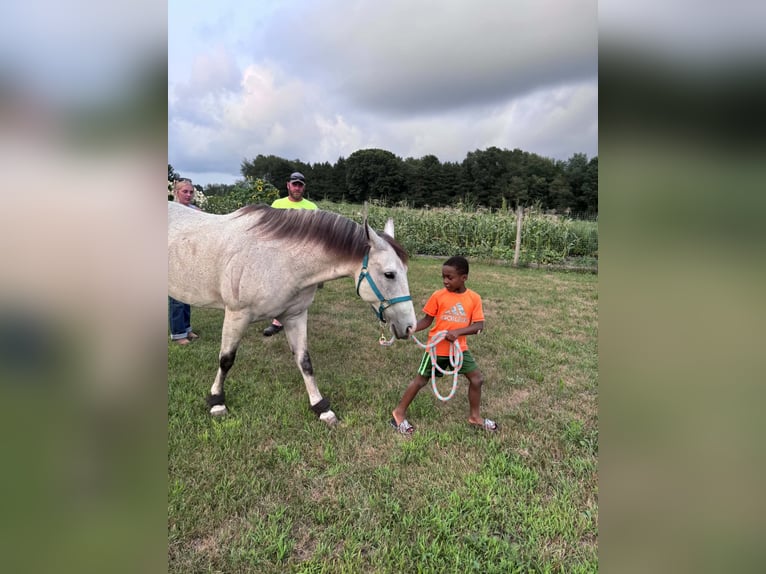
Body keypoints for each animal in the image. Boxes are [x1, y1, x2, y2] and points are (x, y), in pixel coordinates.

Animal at [168, 202, 416, 425]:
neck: (279, 260)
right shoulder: (236, 315)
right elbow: (226, 359)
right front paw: (217, 401)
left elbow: (304, 361)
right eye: (389, 274)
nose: (409, 326)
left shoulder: (295, 316)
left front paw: (321, 407)